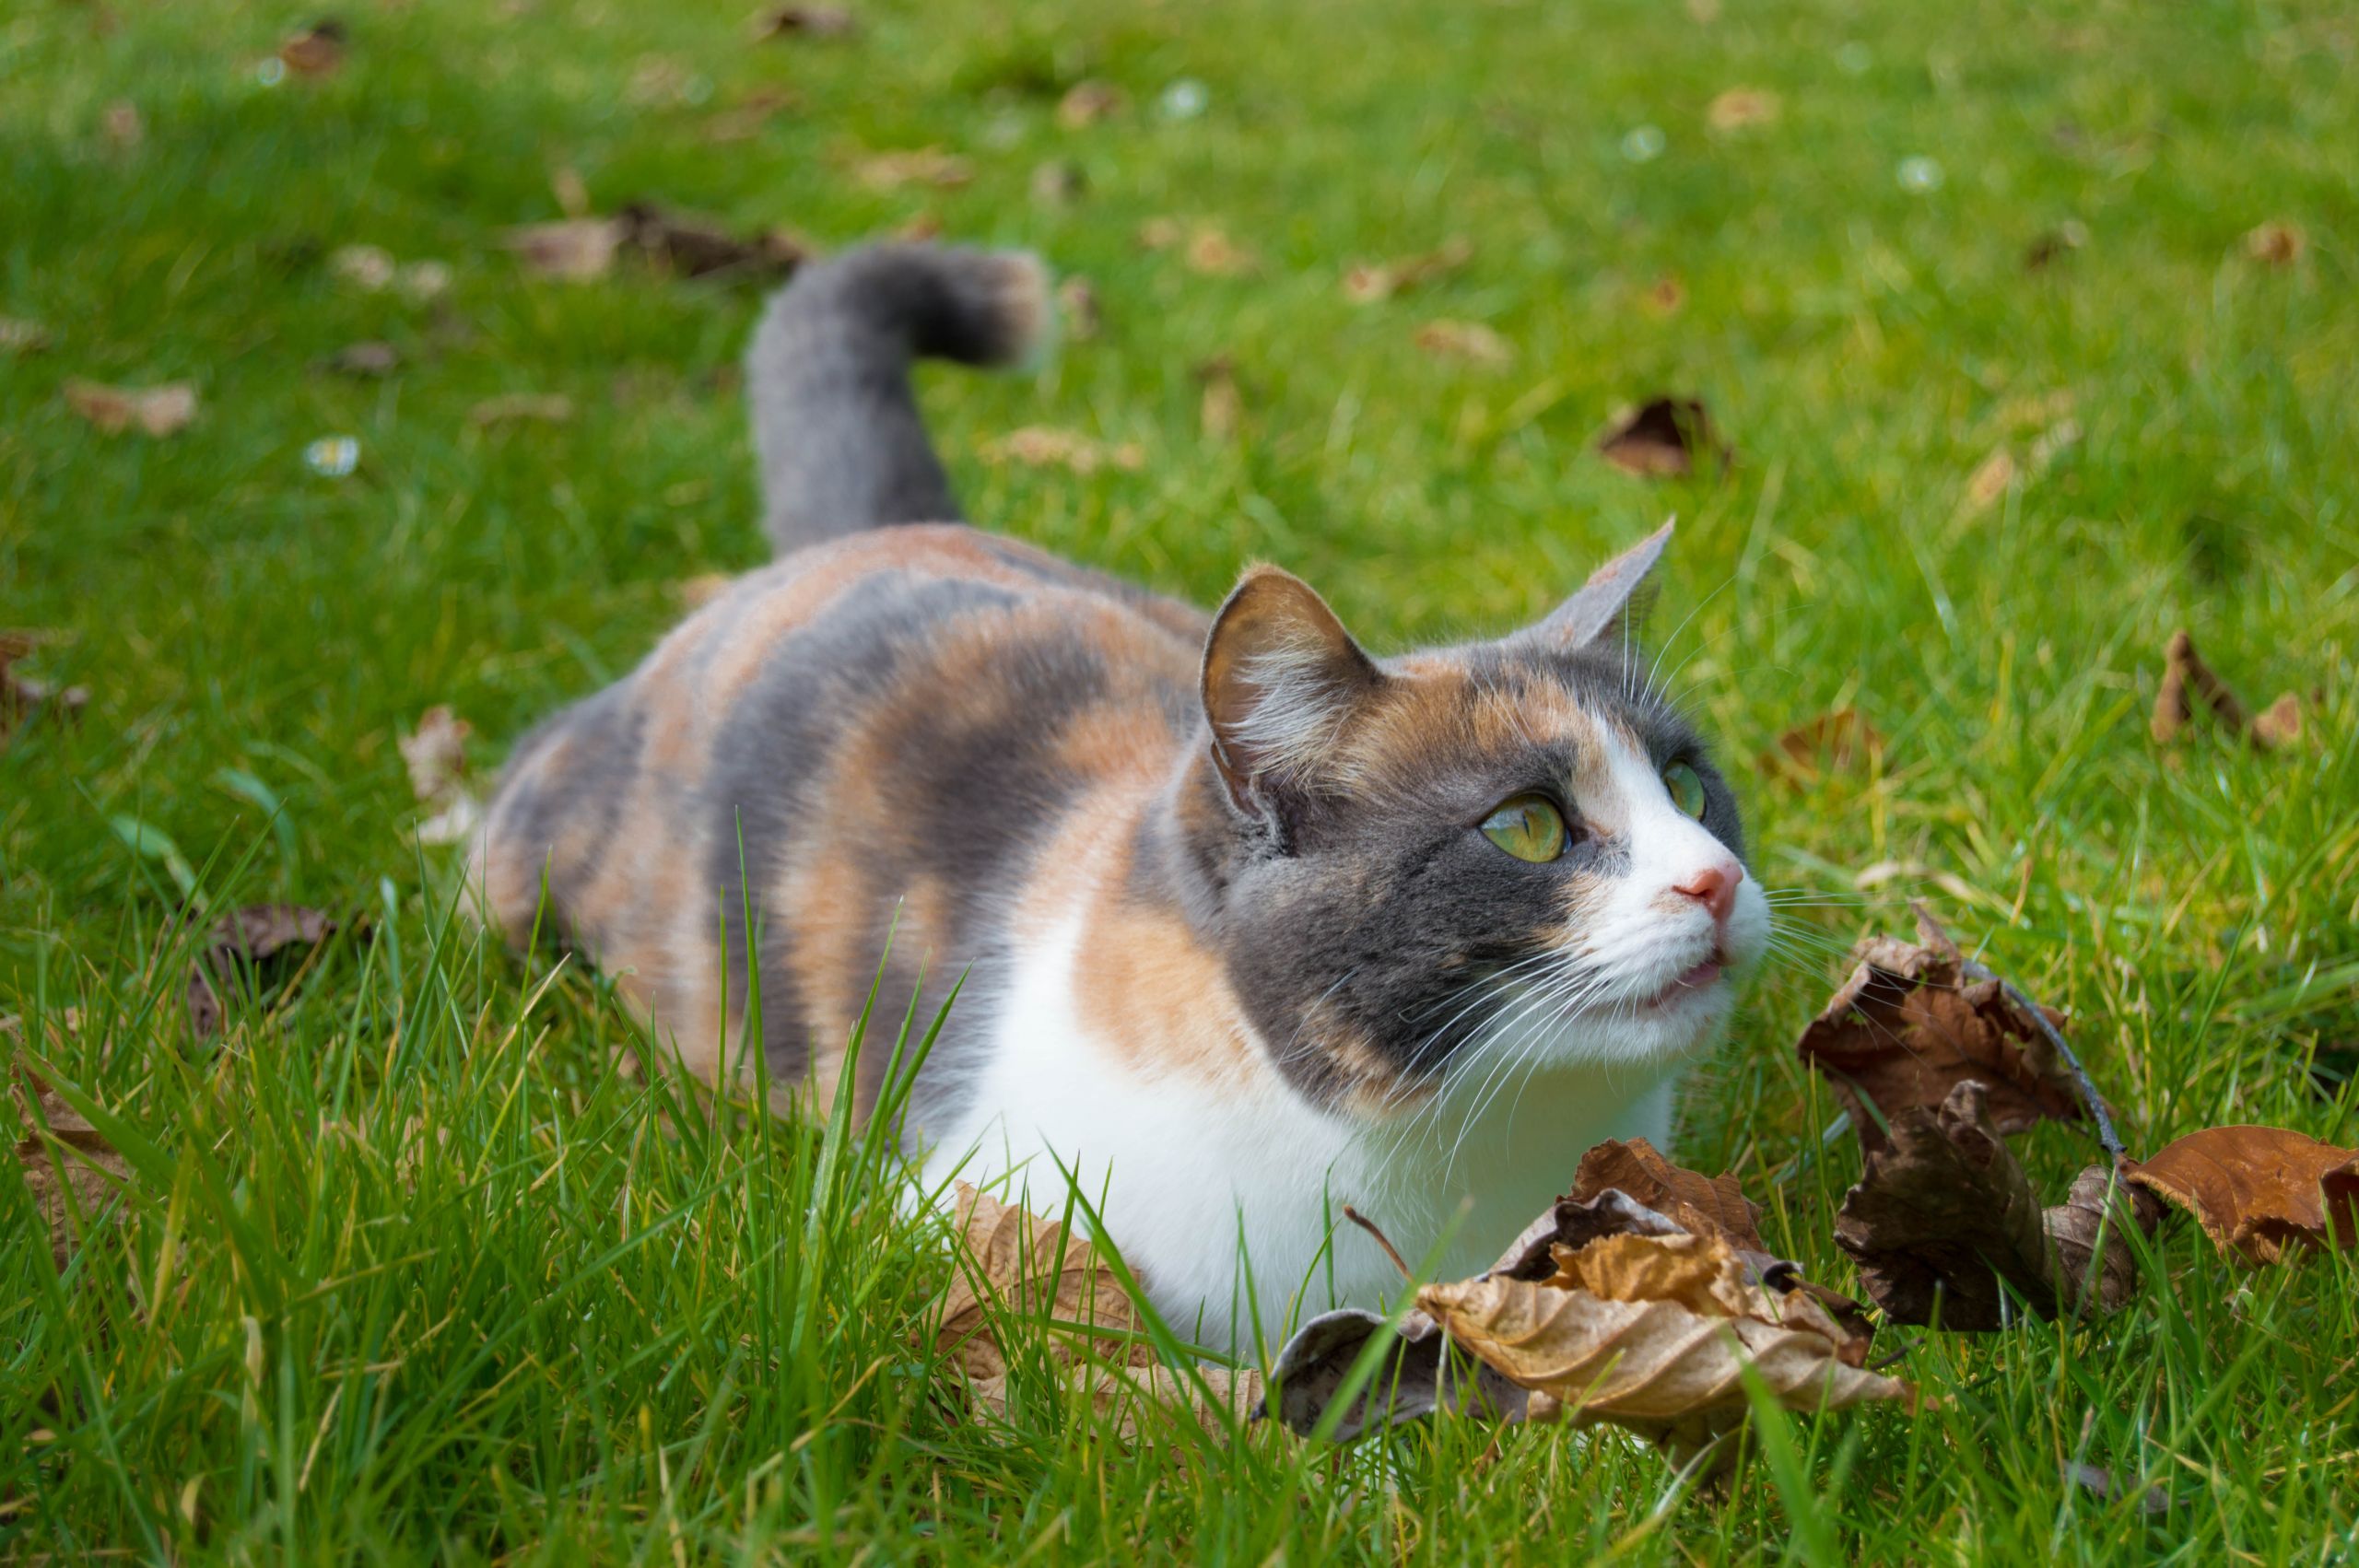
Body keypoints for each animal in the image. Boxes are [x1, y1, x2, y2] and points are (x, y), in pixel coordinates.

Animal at [474, 241, 1774, 1348]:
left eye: (1685, 782)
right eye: (1526, 826)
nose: (1712, 880)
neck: (1429, 1159)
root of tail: (872, 539)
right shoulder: (974, 1216)